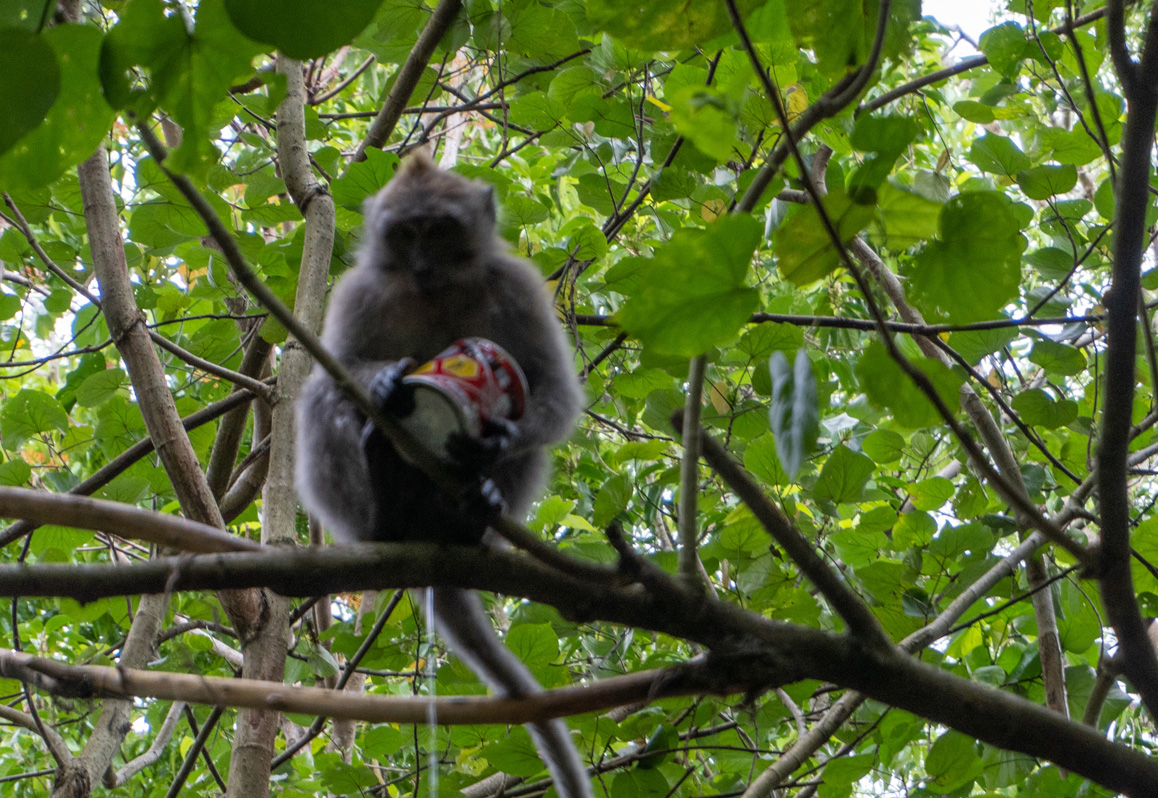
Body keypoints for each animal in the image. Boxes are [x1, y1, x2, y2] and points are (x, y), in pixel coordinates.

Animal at [294, 153, 590, 797]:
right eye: (407, 234)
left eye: (440, 230)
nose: (423, 262)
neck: (438, 290)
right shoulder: (361, 291)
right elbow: (338, 367)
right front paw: (385, 384)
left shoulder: (518, 286)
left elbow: (552, 390)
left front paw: (494, 437)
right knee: (323, 398)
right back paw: (386, 507)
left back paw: (471, 514)